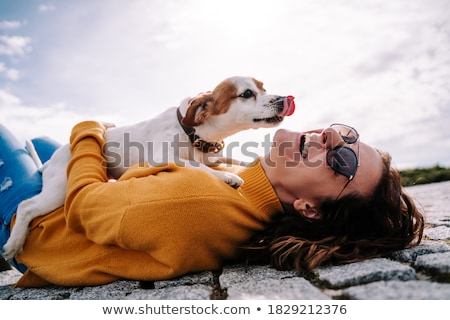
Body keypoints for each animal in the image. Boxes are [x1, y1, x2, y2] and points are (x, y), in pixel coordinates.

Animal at [2, 75, 296, 260]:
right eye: (247, 94)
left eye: (264, 87)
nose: (284, 99)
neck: (192, 132)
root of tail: (52, 160)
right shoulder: (163, 157)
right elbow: (195, 166)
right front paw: (226, 177)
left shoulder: (211, 155)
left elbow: (234, 161)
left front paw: (249, 163)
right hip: (59, 190)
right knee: (25, 207)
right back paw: (13, 245)